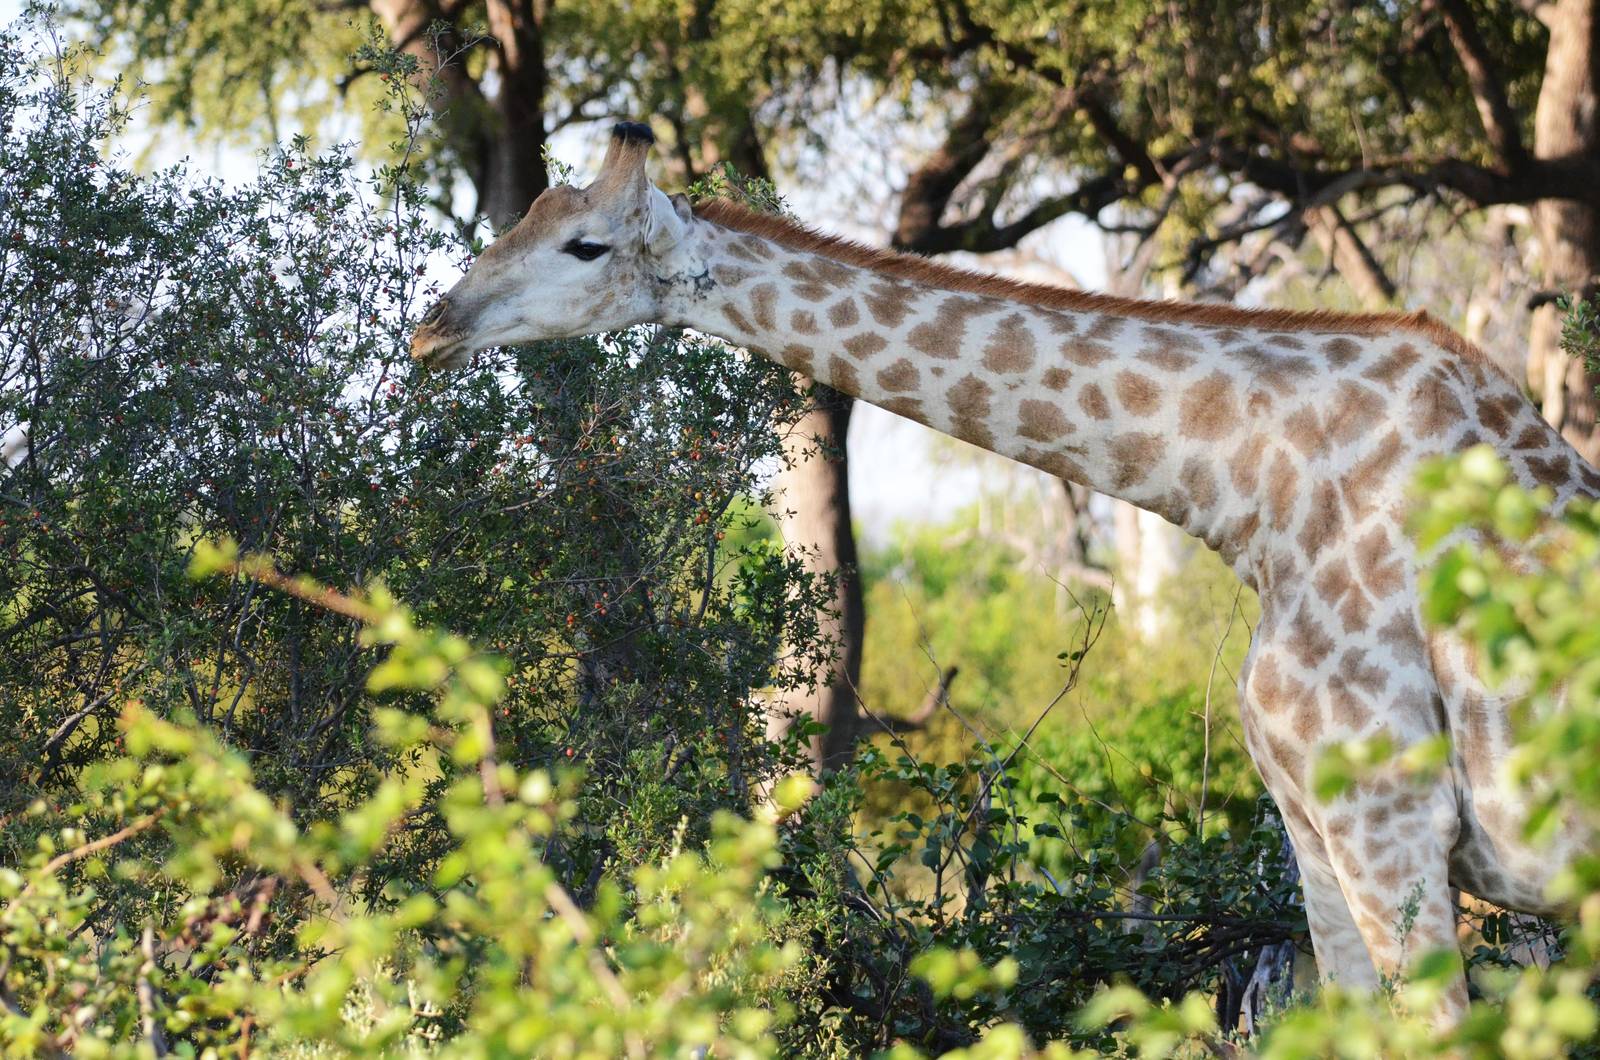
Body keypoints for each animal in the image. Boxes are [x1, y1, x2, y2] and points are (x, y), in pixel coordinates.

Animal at [410, 122, 1600, 1020]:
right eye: (524, 215)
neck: (1249, 491)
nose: (432, 327)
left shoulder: (1391, 823)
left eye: (585, 246)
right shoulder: (1312, 829)